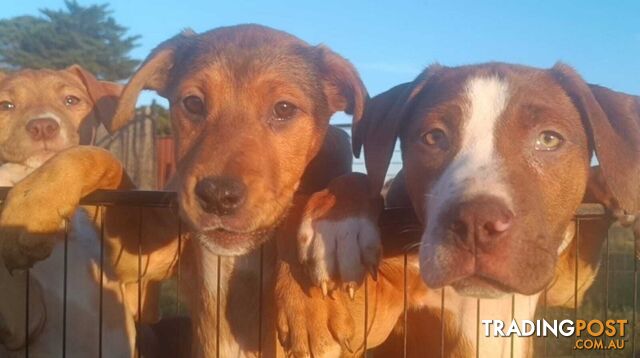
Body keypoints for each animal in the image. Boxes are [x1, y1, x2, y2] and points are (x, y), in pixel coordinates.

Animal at [0, 25, 368, 358]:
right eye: (192, 103)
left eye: (284, 109)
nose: (218, 196)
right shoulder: (138, 256)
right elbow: (100, 156)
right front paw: (34, 203)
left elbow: (334, 171)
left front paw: (312, 292)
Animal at [280, 63, 640, 356]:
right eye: (433, 137)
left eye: (549, 139)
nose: (477, 222)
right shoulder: (380, 311)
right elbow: (360, 180)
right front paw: (334, 230)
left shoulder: (560, 284)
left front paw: (624, 183)